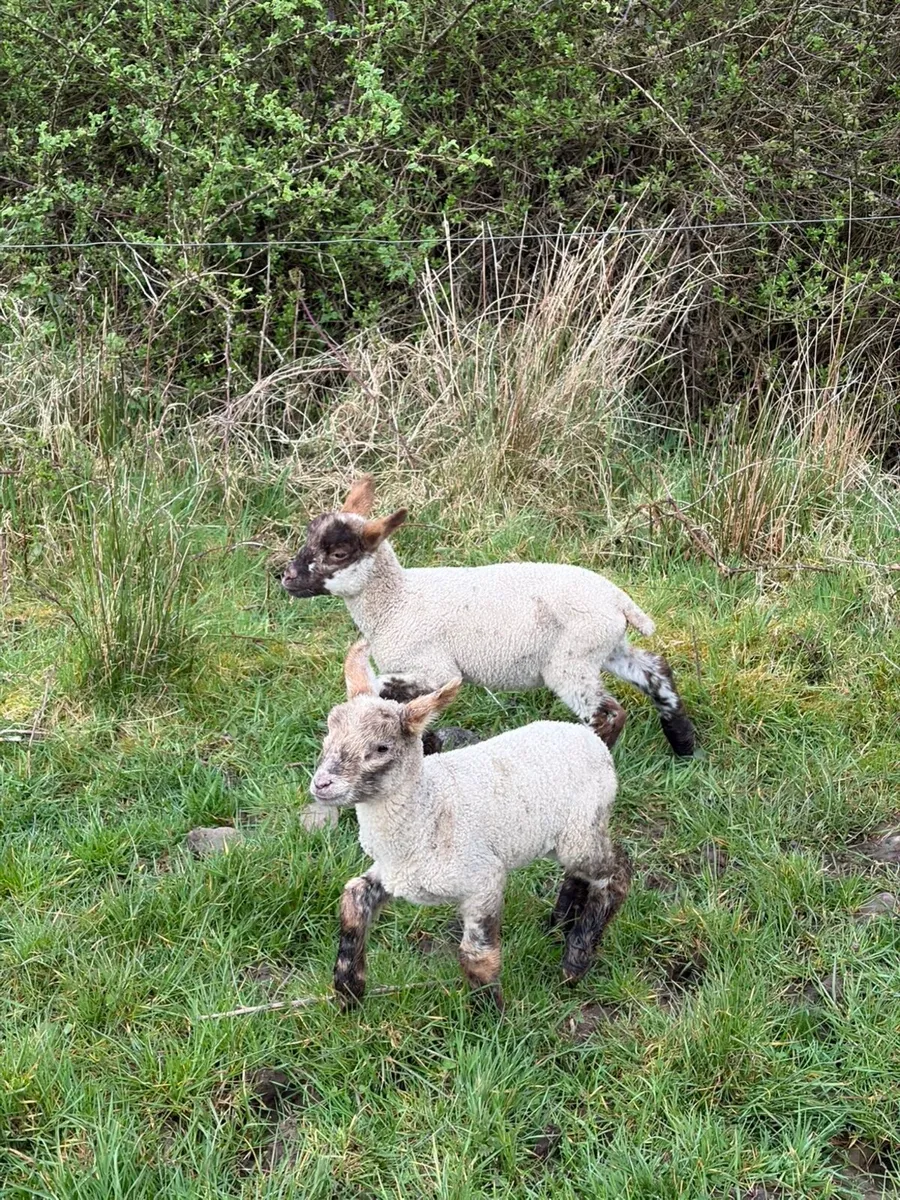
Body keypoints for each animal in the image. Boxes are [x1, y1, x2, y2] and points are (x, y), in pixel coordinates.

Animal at [282, 476, 696, 758]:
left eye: (338, 553)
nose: (286, 577)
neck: (395, 602)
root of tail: (618, 600)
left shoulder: (433, 667)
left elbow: (387, 689)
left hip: (571, 660)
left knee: (608, 713)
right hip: (605, 646)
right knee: (656, 672)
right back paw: (684, 745)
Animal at [312, 641, 631, 1011]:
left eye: (381, 748)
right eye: (329, 731)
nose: (321, 784)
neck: (429, 808)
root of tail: (593, 739)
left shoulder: (483, 878)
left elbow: (476, 955)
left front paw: (492, 1014)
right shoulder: (393, 873)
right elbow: (353, 898)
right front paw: (348, 990)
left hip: (583, 826)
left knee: (616, 873)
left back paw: (576, 957)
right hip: (564, 835)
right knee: (581, 873)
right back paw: (560, 923)